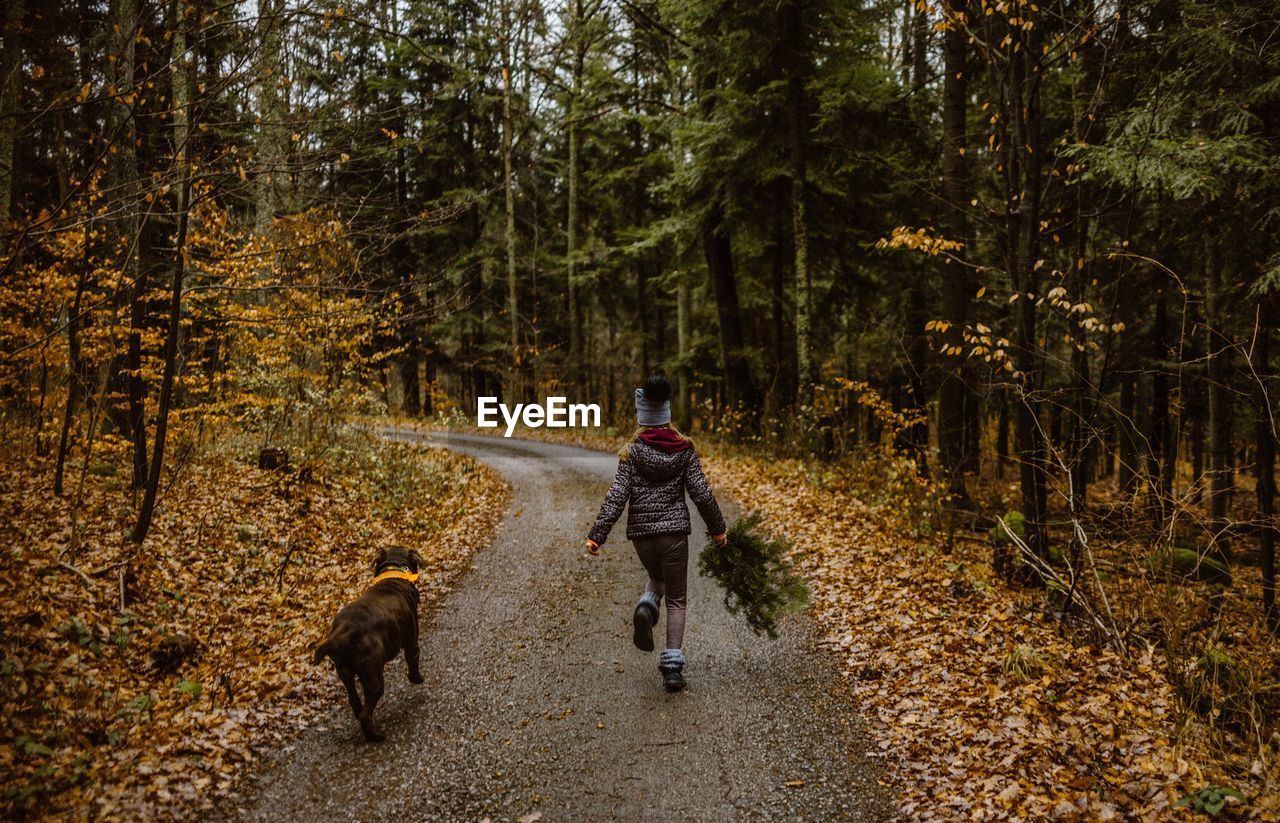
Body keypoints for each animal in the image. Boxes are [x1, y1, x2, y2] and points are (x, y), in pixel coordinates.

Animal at [313, 547, 424, 742]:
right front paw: (417, 679)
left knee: (355, 702)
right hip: (373, 676)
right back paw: (376, 736)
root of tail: (344, 632)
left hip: (344, 672)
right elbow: (413, 664)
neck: (393, 573)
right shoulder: (412, 642)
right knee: (366, 714)